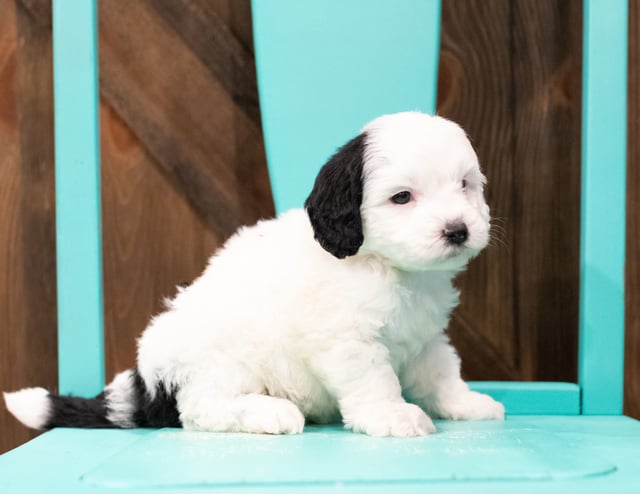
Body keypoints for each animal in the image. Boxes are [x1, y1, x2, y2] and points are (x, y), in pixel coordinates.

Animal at [3, 111, 504, 436]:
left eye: (465, 185)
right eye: (402, 197)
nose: (457, 230)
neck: (384, 264)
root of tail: (148, 381)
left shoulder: (424, 337)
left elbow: (440, 373)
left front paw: (464, 402)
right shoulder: (348, 340)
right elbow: (374, 380)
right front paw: (392, 415)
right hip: (220, 363)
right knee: (199, 410)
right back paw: (268, 414)